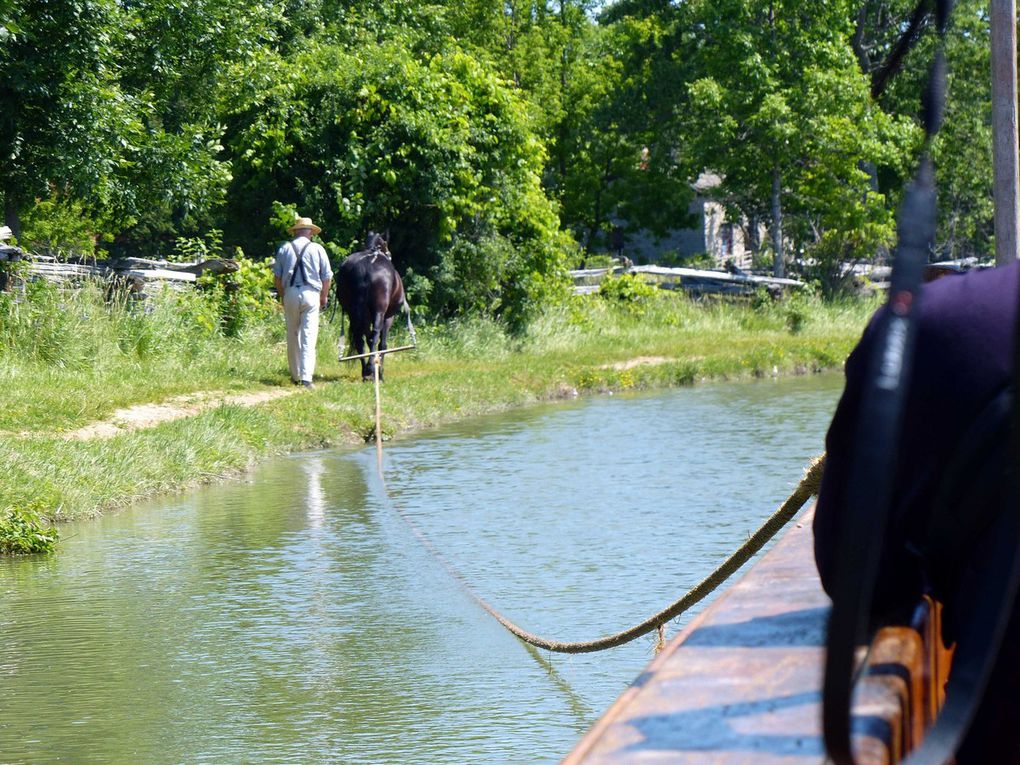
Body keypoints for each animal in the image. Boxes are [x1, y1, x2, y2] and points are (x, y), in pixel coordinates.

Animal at [336, 230, 412, 381]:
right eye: (386, 243)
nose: (389, 253)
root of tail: (366, 267)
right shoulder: (388, 317)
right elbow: (382, 343)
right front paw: (380, 371)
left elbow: (367, 337)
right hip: (379, 311)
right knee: (375, 335)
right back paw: (372, 370)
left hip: (353, 312)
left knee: (360, 339)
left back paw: (365, 371)